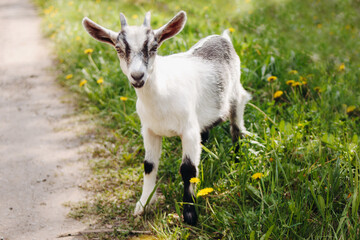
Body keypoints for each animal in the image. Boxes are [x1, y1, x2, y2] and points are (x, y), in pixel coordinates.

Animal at [82, 10, 250, 225]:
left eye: (154, 47)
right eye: (118, 49)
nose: (137, 76)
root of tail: (222, 37)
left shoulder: (188, 130)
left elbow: (188, 169)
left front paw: (190, 214)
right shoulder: (149, 130)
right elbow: (149, 165)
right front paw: (143, 204)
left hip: (236, 96)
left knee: (237, 129)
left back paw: (237, 158)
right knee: (205, 135)